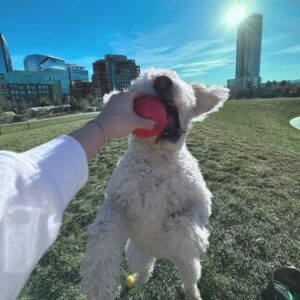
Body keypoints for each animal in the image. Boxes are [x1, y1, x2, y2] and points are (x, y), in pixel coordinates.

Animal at [81, 68, 229, 300]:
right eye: (139, 80)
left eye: (176, 77)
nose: (162, 81)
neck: (157, 159)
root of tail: (160, 254)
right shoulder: (117, 200)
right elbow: (103, 233)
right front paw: (99, 284)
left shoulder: (201, 199)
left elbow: (187, 224)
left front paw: (183, 237)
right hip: (135, 254)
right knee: (144, 269)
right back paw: (137, 281)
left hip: (189, 266)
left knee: (190, 280)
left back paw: (193, 293)